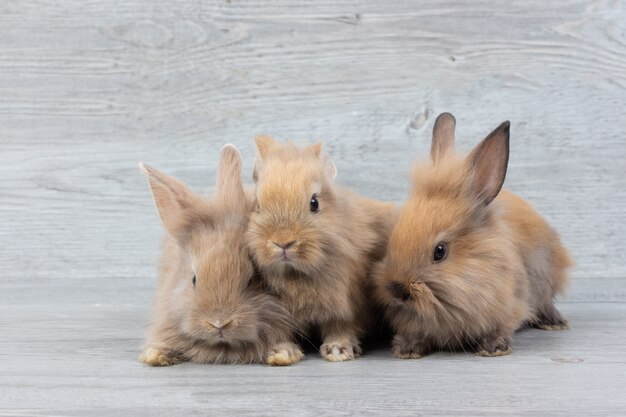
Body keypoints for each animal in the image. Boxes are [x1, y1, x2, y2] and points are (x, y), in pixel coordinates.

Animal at [246, 136, 392, 360]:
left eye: (314, 203)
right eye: (258, 205)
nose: (283, 242)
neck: (296, 274)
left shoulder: (345, 304)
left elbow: (340, 326)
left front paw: (338, 350)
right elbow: (279, 332)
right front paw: (282, 353)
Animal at [370, 113, 572, 358]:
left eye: (440, 251)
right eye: (391, 240)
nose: (397, 291)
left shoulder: (512, 305)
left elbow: (503, 326)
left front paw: (493, 348)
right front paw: (407, 349)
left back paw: (555, 322)